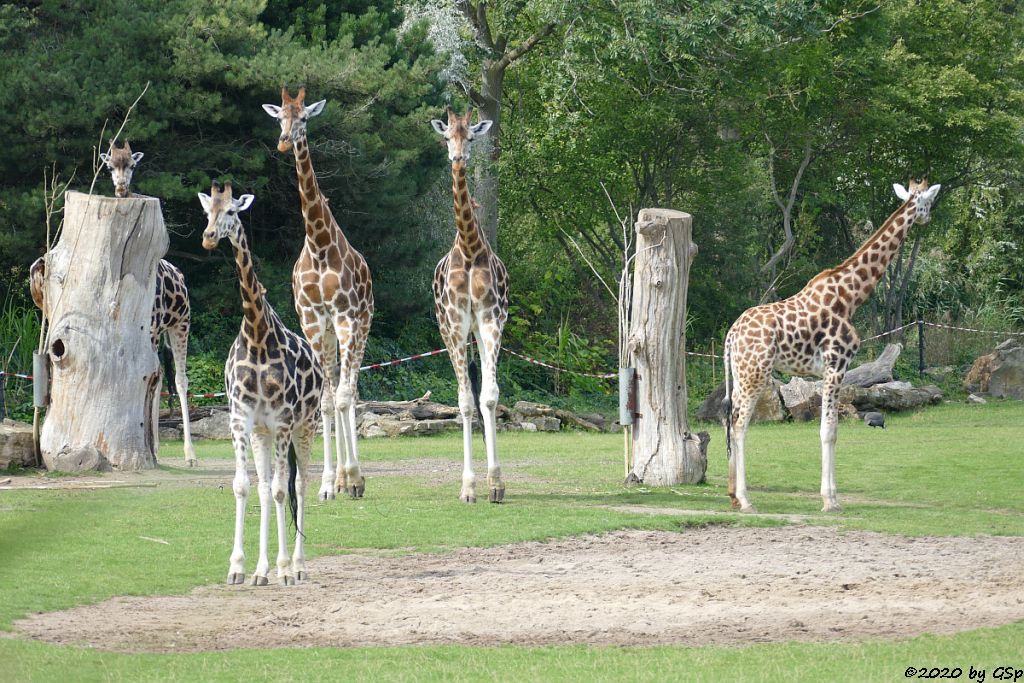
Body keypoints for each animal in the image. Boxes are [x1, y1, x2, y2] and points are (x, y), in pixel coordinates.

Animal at [30, 141, 197, 466]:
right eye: (109, 166)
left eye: (131, 165)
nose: (120, 188)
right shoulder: (146, 332)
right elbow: (148, 378)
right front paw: (150, 447)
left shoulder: (154, 328)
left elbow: (156, 377)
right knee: (161, 377)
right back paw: (157, 446)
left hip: (181, 324)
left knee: (179, 379)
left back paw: (189, 454)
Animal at [198, 183, 323, 589]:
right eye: (207, 212)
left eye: (232, 212)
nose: (208, 237)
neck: (255, 333)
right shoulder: (242, 420)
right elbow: (245, 485)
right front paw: (239, 567)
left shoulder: (283, 421)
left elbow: (285, 489)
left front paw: (284, 569)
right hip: (262, 433)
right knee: (267, 487)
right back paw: (261, 571)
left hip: (306, 425)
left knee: (298, 485)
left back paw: (296, 567)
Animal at [264, 88, 376, 499]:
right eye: (279, 116)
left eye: (304, 118)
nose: (284, 140)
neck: (319, 244)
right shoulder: (314, 322)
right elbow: (326, 402)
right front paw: (329, 484)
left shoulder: (344, 318)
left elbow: (342, 396)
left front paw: (352, 478)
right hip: (329, 335)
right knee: (339, 393)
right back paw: (340, 478)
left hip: (360, 326)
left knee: (351, 391)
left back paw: (354, 477)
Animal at [724, 180, 937, 511]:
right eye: (928, 203)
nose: (927, 219)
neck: (850, 297)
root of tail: (731, 335)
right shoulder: (836, 364)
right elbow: (829, 431)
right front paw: (830, 500)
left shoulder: (829, 370)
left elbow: (829, 429)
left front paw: (831, 496)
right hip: (756, 372)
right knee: (739, 424)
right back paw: (746, 500)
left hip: (740, 372)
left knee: (731, 421)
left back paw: (733, 495)